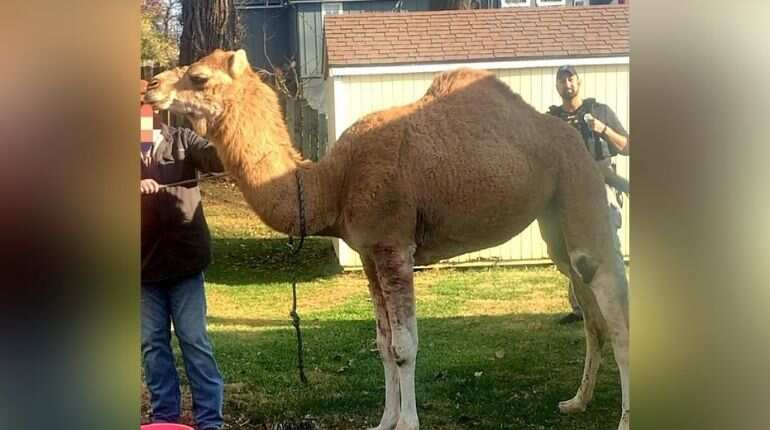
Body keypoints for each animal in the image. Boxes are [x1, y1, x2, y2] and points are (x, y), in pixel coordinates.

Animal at [144, 49, 630, 430]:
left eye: (199, 77)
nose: (151, 85)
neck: (333, 182)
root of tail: (575, 137)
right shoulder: (367, 251)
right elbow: (381, 344)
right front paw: (384, 421)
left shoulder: (395, 245)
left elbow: (403, 345)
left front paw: (407, 423)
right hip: (553, 218)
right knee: (590, 311)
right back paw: (577, 401)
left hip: (578, 185)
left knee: (612, 302)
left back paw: (624, 419)